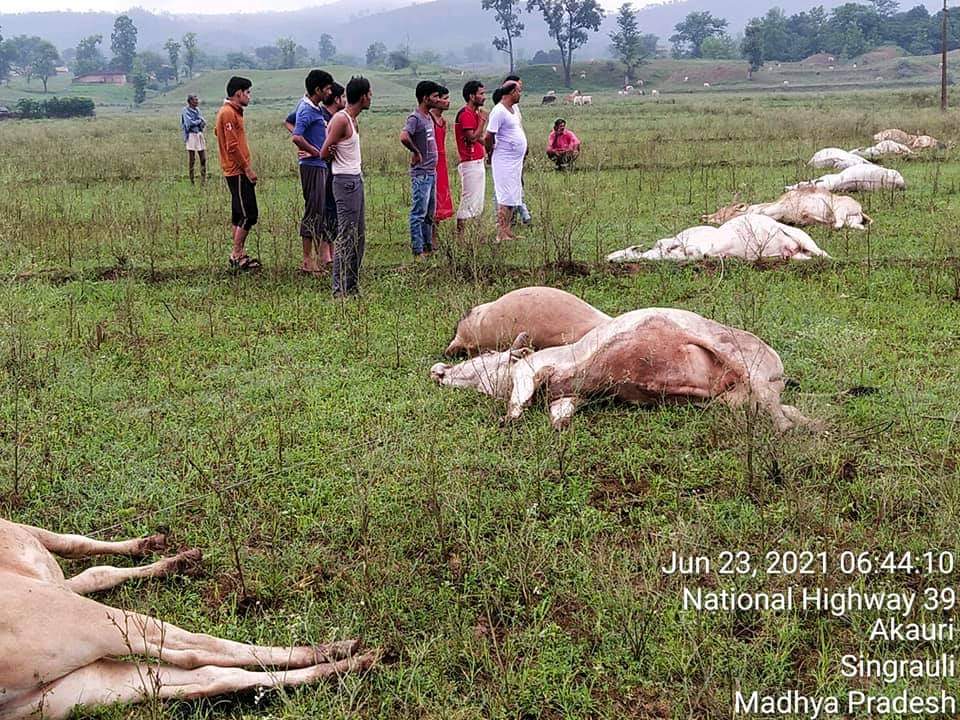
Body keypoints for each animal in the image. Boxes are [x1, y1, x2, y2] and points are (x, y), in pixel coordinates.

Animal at [0, 516, 376, 720]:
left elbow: (91, 564)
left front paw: (163, 552)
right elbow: (79, 550)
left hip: (66, 692)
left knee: (208, 677)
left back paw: (351, 664)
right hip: (84, 621)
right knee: (201, 648)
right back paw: (339, 649)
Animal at [432, 306, 812, 430]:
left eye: (481, 359)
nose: (437, 369)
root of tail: (778, 368)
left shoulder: (536, 366)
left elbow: (519, 393)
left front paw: (507, 418)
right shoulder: (571, 396)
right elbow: (560, 412)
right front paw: (559, 425)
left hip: (744, 360)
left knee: (776, 412)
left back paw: (788, 432)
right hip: (738, 397)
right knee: (783, 409)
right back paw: (812, 426)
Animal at [700, 187, 872, 232]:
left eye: (726, 211)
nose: (705, 217)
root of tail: (860, 208)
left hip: (840, 209)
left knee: (838, 224)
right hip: (852, 221)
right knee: (857, 226)